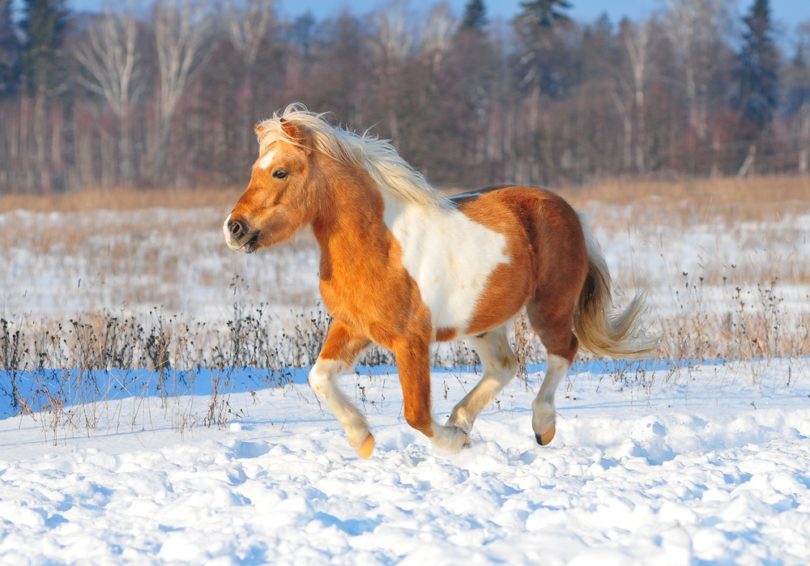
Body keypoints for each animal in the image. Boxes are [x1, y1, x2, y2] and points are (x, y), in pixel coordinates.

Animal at [223, 103, 657, 458]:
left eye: (280, 172)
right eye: (253, 171)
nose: (234, 229)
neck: (380, 245)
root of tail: (569, 211)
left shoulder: (411, 340)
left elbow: (415, 413)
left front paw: (450, 443)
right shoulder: (353, 326)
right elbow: (319, 377)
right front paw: (363, 440)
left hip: (549, 306)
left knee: (563, 350)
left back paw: (539, 428)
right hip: (484, 321)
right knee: (504, 365)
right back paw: (462, 421)